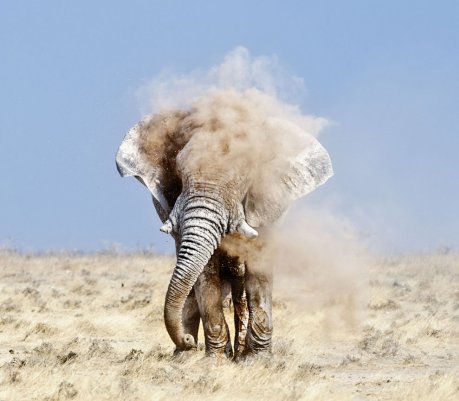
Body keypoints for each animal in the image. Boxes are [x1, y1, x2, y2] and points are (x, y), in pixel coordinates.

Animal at [116, 90, 334, 356]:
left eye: (243, 179)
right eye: (179, 172)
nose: (188, 341)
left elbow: (258, 269)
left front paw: (257, 359)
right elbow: (205, 273)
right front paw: (216, 359)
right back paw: (184, 356)